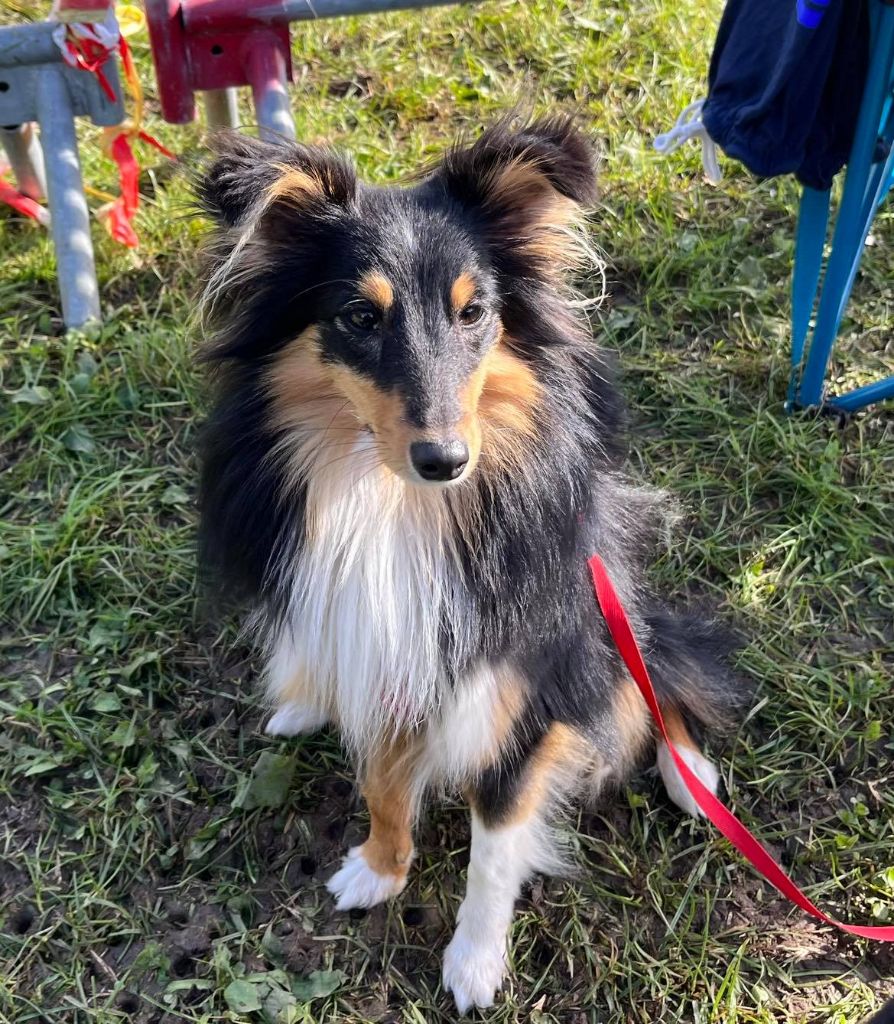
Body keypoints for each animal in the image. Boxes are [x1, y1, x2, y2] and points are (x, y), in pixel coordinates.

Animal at [196, 116, 745, 1011]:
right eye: (358, 316)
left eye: (475, 312)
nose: (445, 460)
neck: (391, 502)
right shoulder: (389, 647)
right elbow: (384, 782)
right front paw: (380, 870)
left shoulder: (518, 697)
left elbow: (494, 849)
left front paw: (475, 963)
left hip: (608, 606)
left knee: (654, 674)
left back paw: (687, 767)